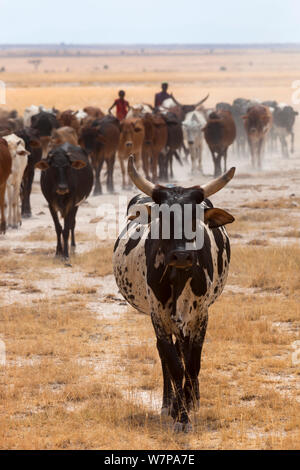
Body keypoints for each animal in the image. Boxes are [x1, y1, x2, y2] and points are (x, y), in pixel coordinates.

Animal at [113, 156, 236, 432]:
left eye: (195, 219)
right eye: (163, 218)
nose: (181, 256)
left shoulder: (201, 315)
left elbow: (192, 363)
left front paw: (189, 405)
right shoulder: (158, 316)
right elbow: (174, 364)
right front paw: (180, 416)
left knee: (185, 352)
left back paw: (192, 399)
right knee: (165, 355)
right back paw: (168, 404)